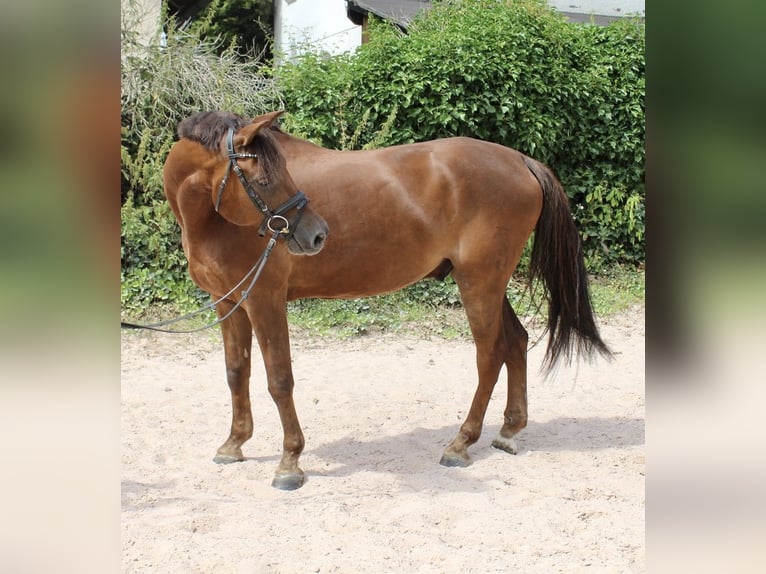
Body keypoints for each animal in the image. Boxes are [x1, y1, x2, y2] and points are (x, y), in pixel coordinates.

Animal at [165, 111, 616, 490]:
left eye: (279, 176)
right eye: (262, 181)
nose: (316, 234)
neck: (213, 221)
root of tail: (521, 160)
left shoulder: (265, 300)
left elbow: (279, 380)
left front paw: (289, 463)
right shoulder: (228, 302)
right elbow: (236, 372)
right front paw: (233, 444)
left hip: (480, 283)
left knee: (491, 353)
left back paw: (461, 443)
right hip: (486, 282)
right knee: (517, 341)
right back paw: (507, 432)